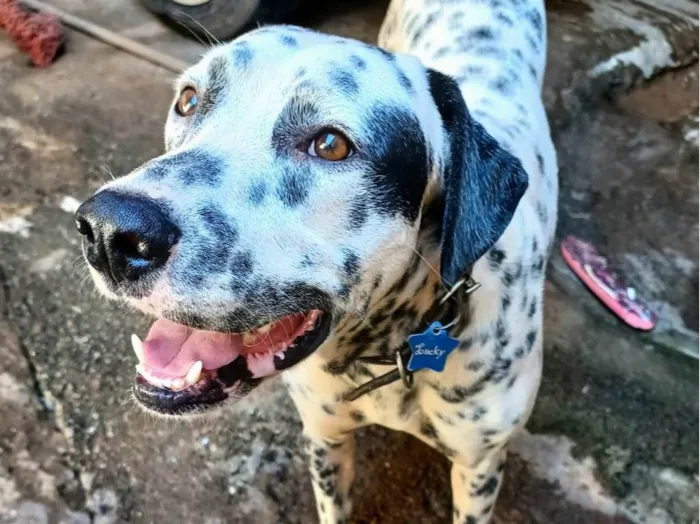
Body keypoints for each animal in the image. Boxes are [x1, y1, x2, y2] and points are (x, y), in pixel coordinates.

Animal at [75, 0, 556, 520]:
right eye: (188, 99)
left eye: (330, 144)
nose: (108, 231)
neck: (385, 354)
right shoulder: (325, 438)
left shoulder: (479, 470)